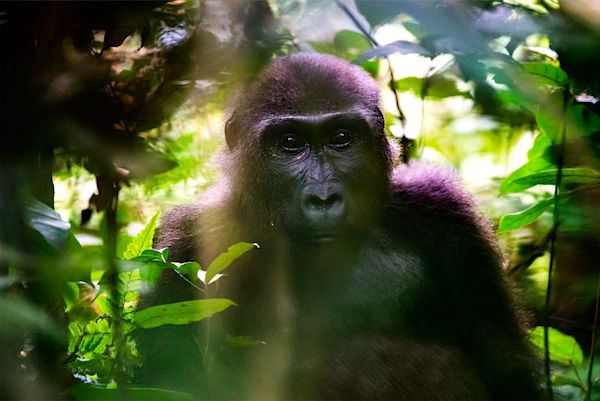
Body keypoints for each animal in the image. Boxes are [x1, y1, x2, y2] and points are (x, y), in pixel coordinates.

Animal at [138, 53, 540, 400]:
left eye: (341, 139)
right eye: (290, 143)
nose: (323, 197)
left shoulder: (445, 211)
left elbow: (507, 370)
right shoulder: (184, 243)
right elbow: (171, 382)